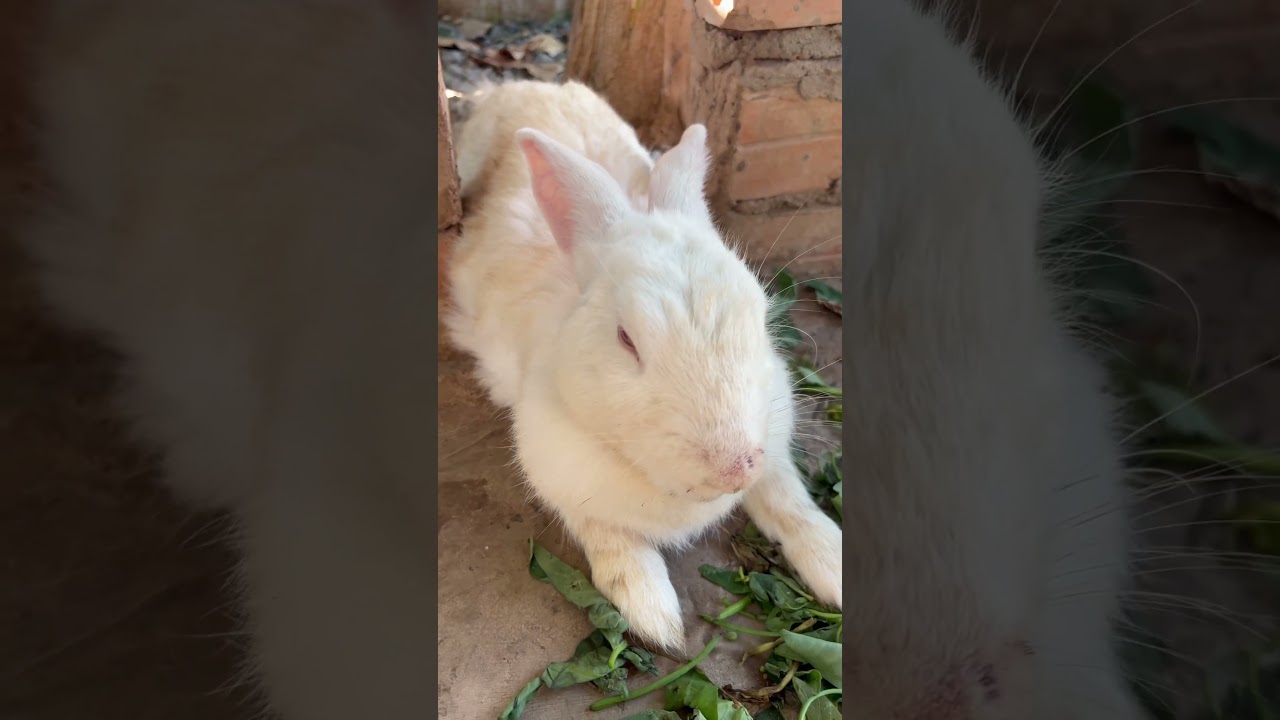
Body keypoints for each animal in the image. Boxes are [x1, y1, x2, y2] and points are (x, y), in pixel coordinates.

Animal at [444, 79, 844, 652]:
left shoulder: (774, 444)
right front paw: (654, 614)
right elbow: (611, 539)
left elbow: (790, 501)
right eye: (626, 339)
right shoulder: (565, 480)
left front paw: (834, 565)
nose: (734, 467)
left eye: (760, 312)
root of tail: (535, 83)